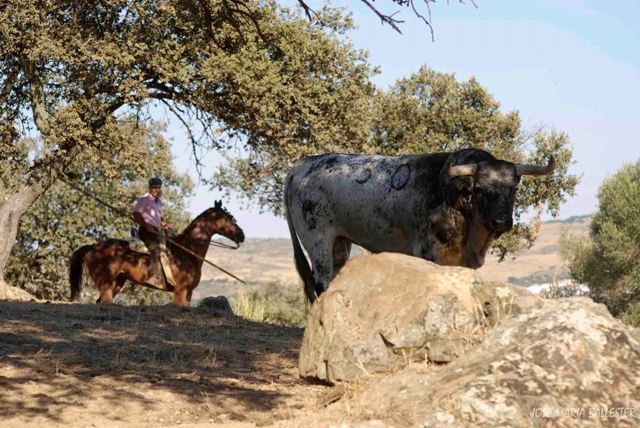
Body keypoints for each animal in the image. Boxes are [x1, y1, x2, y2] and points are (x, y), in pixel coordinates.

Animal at [69, 202, 245, 306]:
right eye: (226, 218)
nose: (241, 235)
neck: (187, 251)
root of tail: (93, 247)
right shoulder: (180, 291)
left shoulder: (188, 293)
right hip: (106, 284)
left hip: (117, 283)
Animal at [282, 149, 552, 302]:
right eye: (479, 189)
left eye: (514, 188)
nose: (500, 221)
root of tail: (304, 164)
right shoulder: (428, 252)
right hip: (318, 241)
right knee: (321, 282)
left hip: (339, 243)